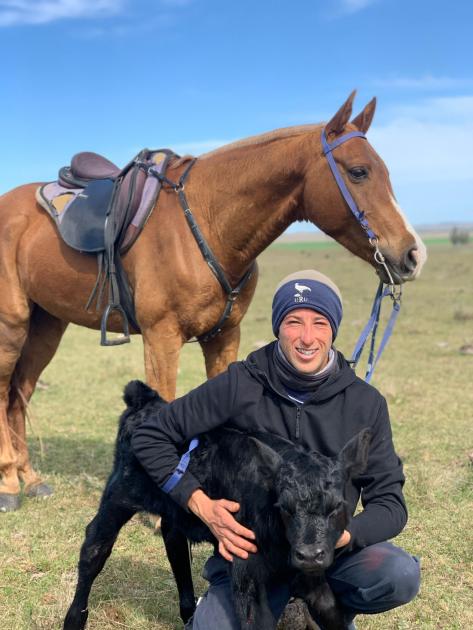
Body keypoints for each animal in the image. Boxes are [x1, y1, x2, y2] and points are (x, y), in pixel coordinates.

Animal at [0, 91, 426, 512]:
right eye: (359, 172)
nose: (414, 254)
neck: (210, 224)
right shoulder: (161, 338)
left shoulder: (224, 337)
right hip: (13, 324)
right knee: (6, 388)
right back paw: (9, 484)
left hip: (48, 324)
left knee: (19, 393)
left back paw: (31, 478)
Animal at [64, 380, 370, 630]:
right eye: (284, 507)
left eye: (337, 506)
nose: (308, 554)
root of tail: (149, 401)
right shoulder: (246, 574)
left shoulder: (312, 576)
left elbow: (332, 612)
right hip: (120, 495)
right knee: (94, 548)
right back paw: (74, 619)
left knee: (175, 544)